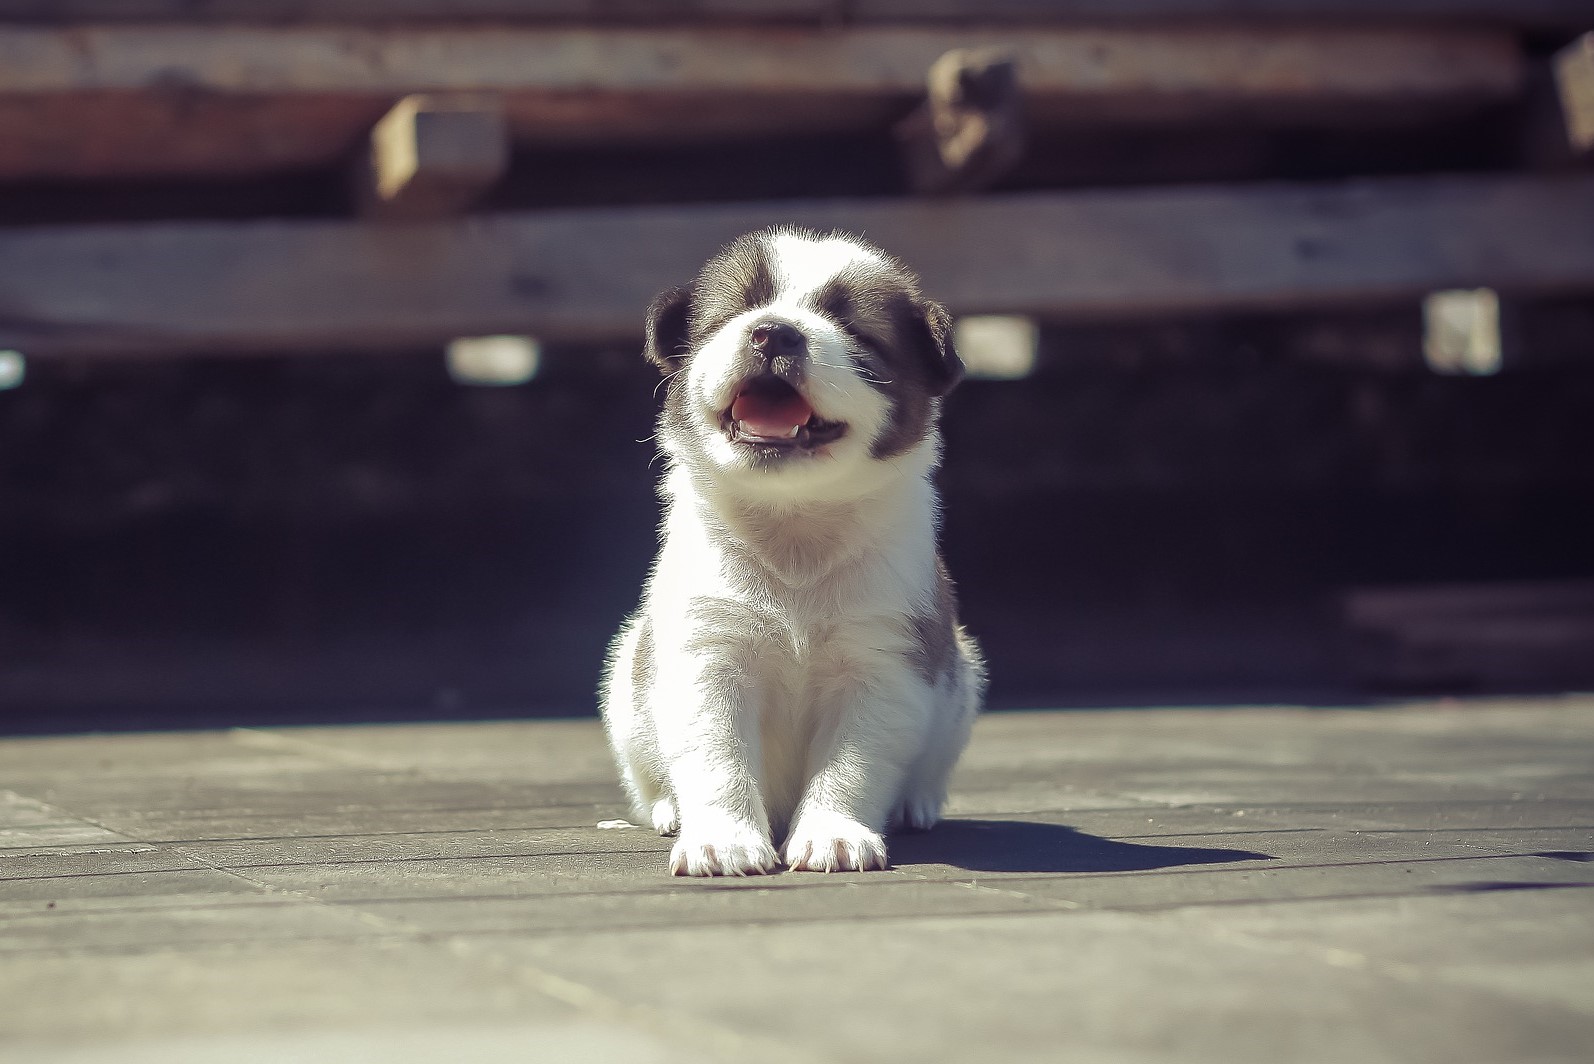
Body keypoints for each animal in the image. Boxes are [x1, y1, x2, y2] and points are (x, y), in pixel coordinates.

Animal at [599, 229, 981, 879]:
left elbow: (852, 764)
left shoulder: (882, 665)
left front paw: (834, 833)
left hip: (963, 686)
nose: (773, 332)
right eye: (739, 311)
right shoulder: (708, 658)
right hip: (626, 689)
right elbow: (717, 757)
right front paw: (721, 838)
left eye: (853, 329)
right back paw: (668, 810)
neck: (795, 525)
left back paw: (917, 803)